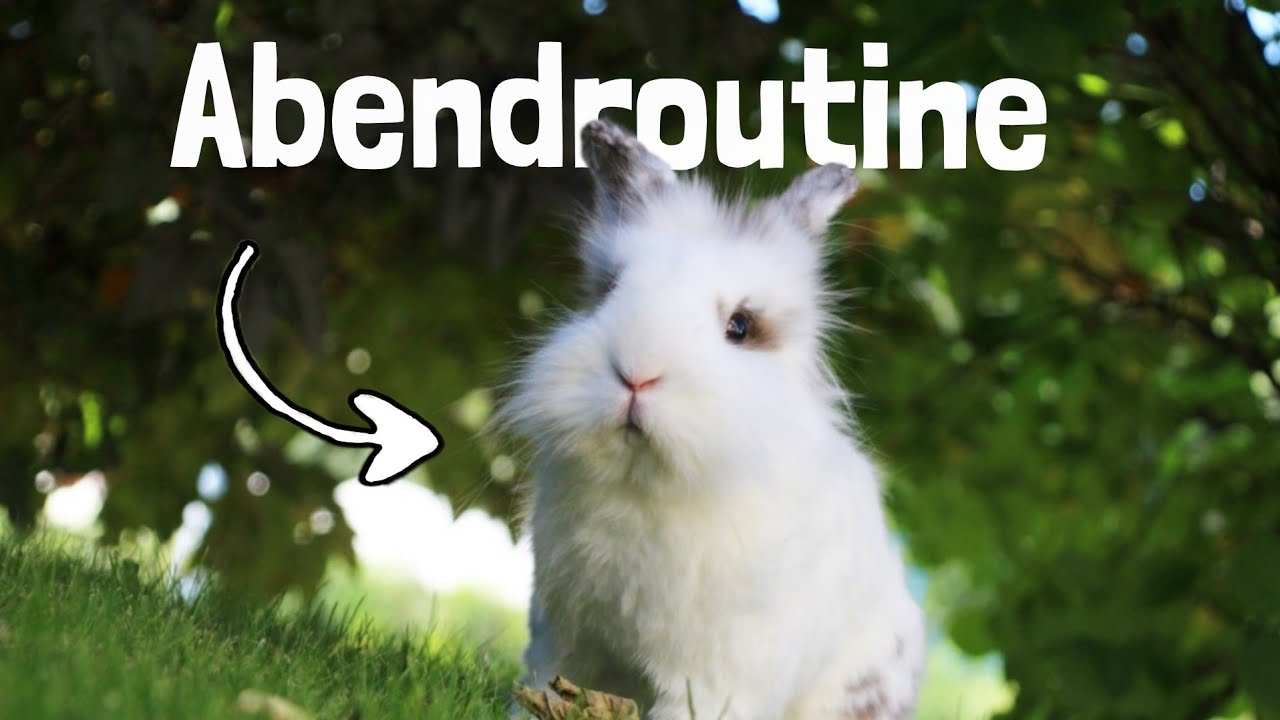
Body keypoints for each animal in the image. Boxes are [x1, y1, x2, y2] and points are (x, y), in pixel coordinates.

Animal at [499, 119, 925, 720]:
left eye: (740, 326)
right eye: (610, 290)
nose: (636, 373)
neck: (644, 488)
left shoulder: (717, 675)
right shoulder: (562, 638)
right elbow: (545, 684)